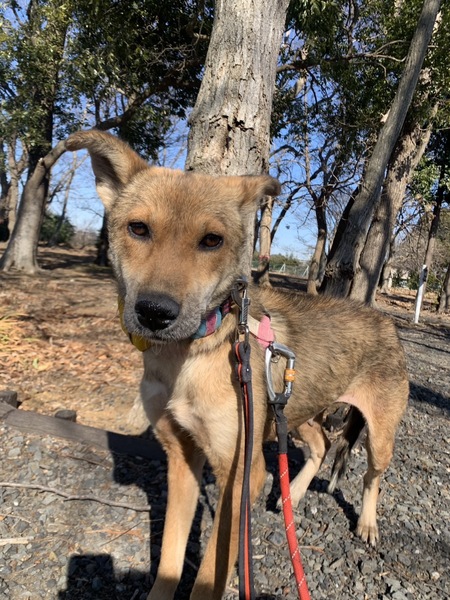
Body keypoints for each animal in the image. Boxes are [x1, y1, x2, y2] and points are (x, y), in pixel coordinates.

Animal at [66, 130, 409, 600]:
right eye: (138, 228)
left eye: (212, 240)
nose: (154, 312)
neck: (189, 356)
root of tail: (387, 323)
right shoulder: (183, 457)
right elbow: (171, 557)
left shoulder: (241, 474)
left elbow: (207, 576)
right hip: (289, 410)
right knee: (321, 444)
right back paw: (290, 494)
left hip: (378, 435)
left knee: (372, 476)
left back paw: (368, 523)